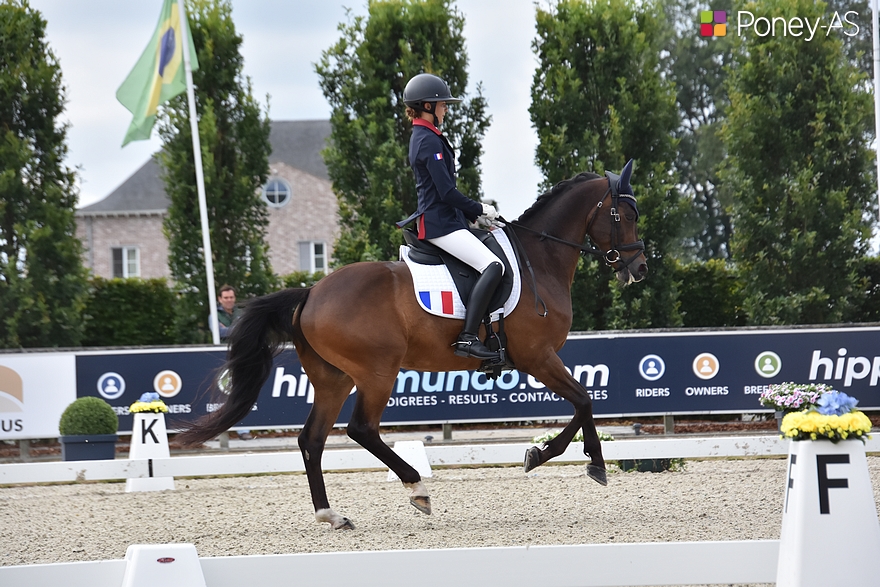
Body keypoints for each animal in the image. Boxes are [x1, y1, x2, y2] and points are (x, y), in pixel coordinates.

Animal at [177, 160, 648, 530]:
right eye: (625, 214)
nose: (639, 267)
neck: (540, 260)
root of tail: (311, 292)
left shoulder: (539, 359)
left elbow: (581, 402)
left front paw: (557, 455)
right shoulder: (537, 357)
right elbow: (584, 399)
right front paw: (582, 461)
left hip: (334, 379)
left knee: (312, 439)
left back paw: (331, 515)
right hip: (377, 372)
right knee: (361, 429)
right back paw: (417, 487)